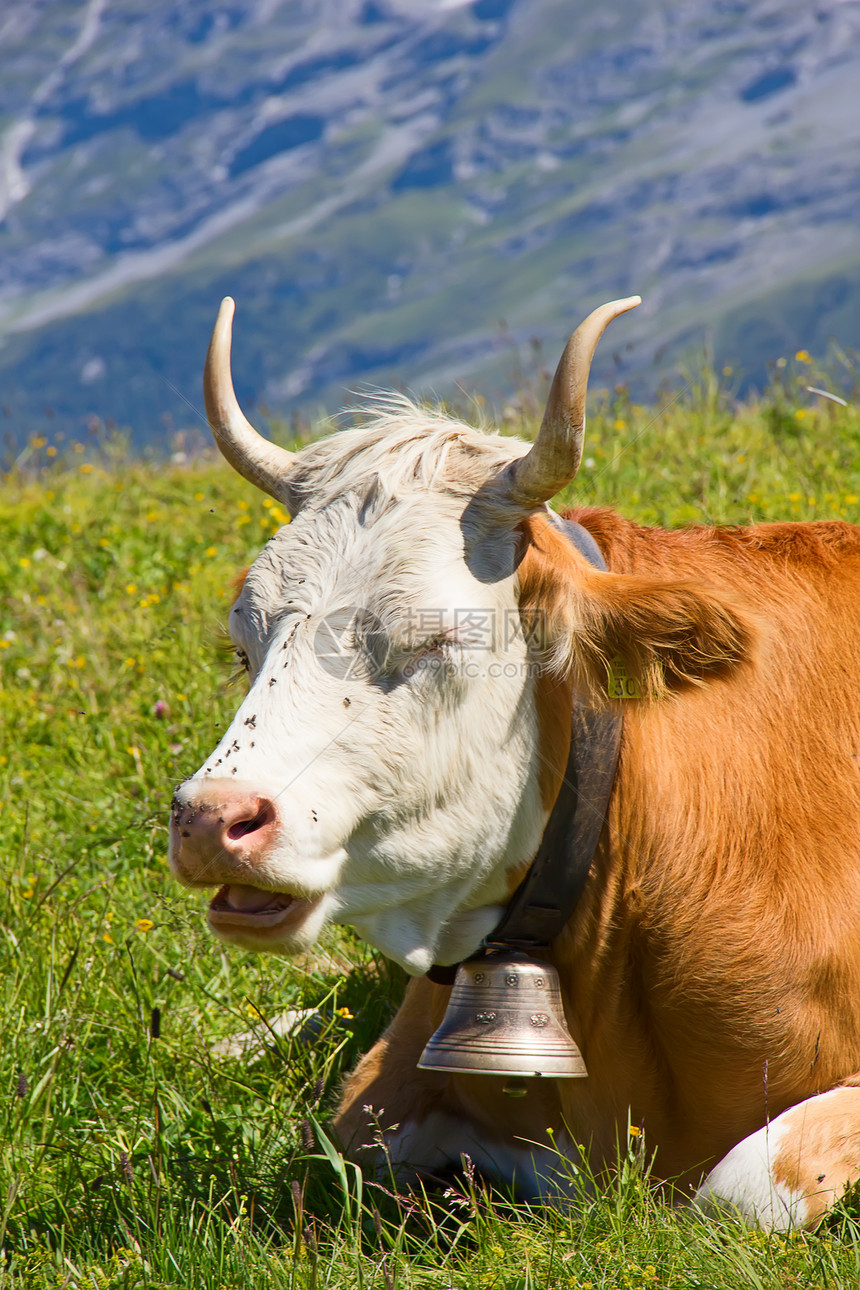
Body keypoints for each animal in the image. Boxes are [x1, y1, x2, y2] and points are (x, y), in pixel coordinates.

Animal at [170, 296, 860, 1233]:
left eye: (435, 639)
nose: (211, 819)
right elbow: (344, 1151)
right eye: (245, 644)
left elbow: (744, 1190)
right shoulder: (387, 1084)